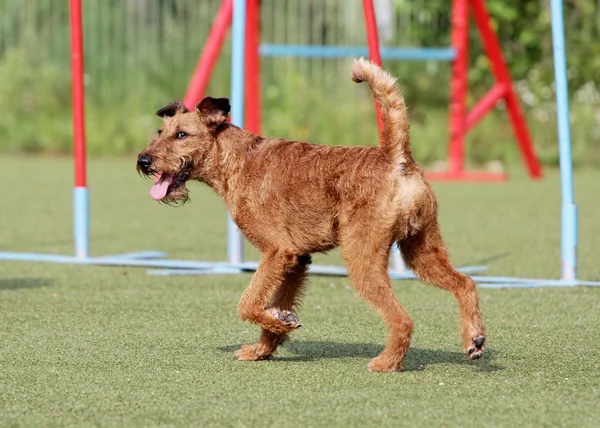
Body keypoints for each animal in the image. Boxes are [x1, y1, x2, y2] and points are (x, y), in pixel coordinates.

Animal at [138, 57, 486, 372]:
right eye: (160, 130)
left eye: (182, 135)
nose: (143, 160)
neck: (237, 160)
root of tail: (395, 158)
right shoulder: (297, 259)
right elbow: (275, 301)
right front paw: (265, 344)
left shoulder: (277, 251)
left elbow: (248, 303)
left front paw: (282, 324)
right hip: (421, 250)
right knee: (464, 282)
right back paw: (474, 339)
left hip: (362, 257)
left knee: (403, 319)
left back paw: (386, 362)